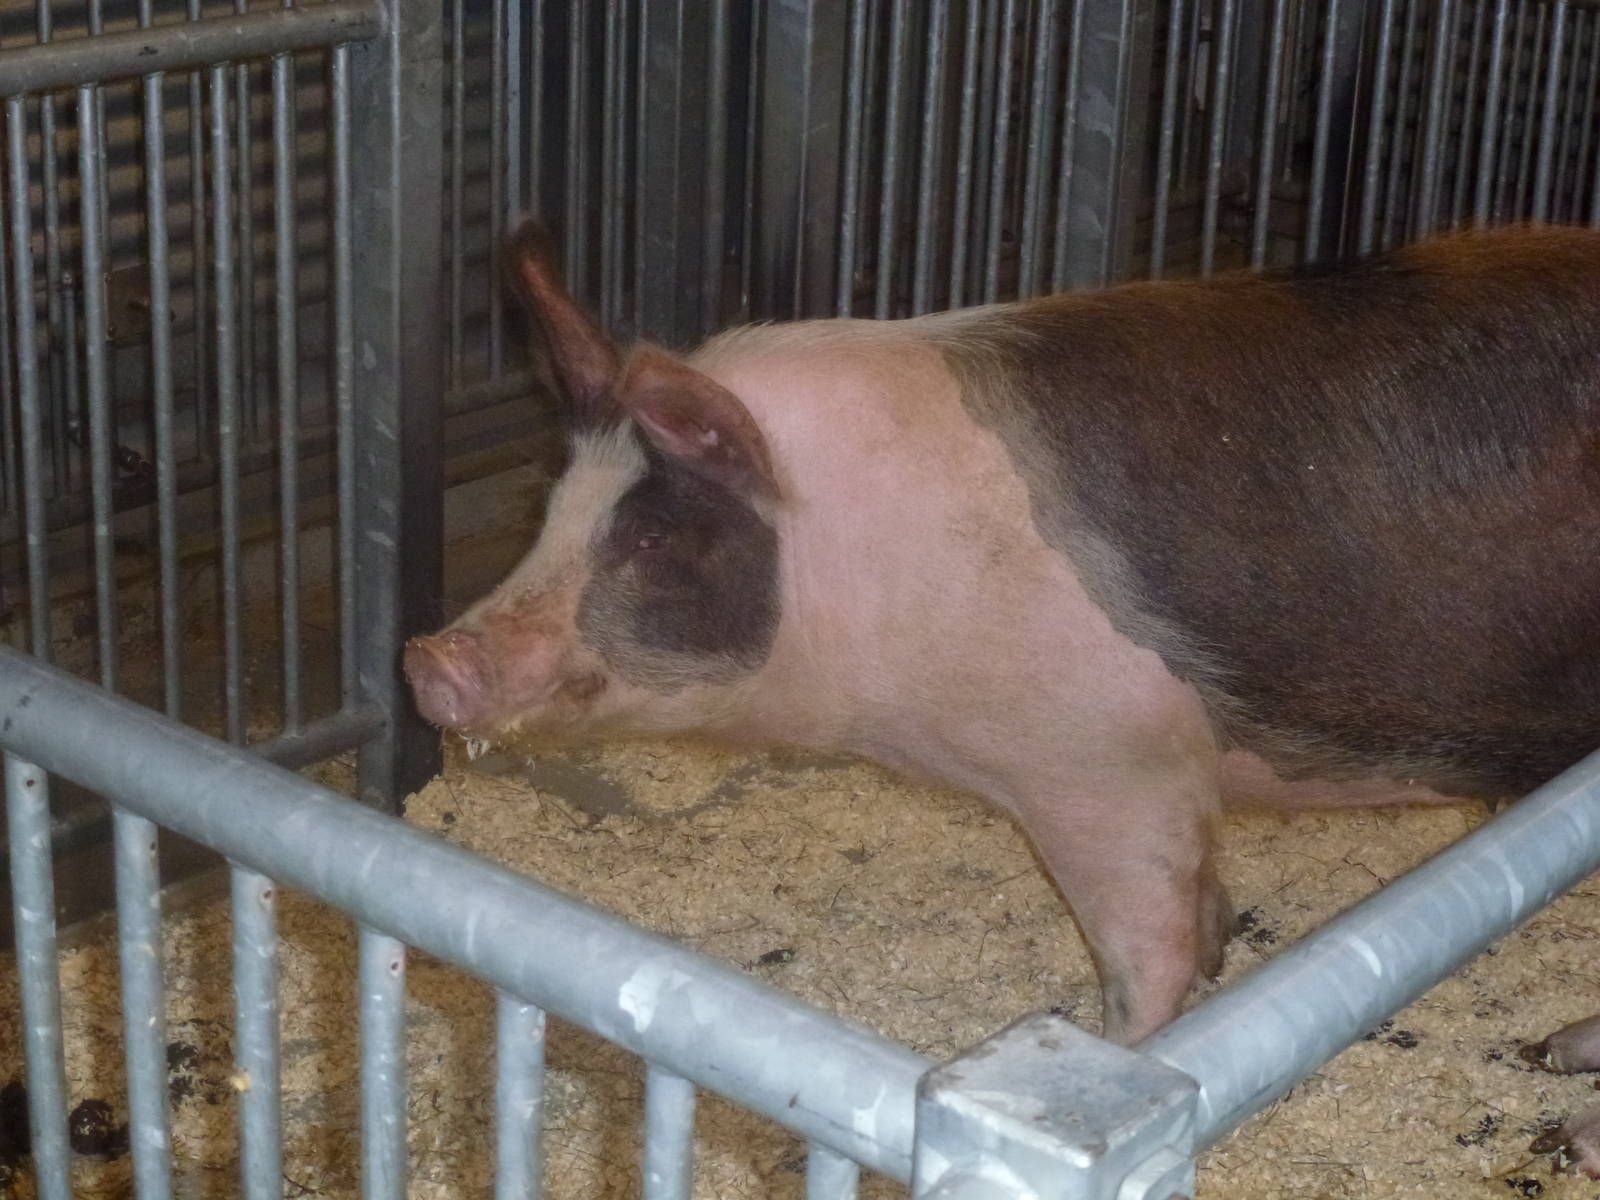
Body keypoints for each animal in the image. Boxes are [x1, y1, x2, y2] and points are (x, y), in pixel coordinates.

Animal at [405, 221, 1600, 1171]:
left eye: (652, 538)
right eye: (553, 507)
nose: (430, 659)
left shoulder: (1109, 766)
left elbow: (1148, 956)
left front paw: (1134, 1061)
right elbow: (1200, 907)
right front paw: (1220, 949)